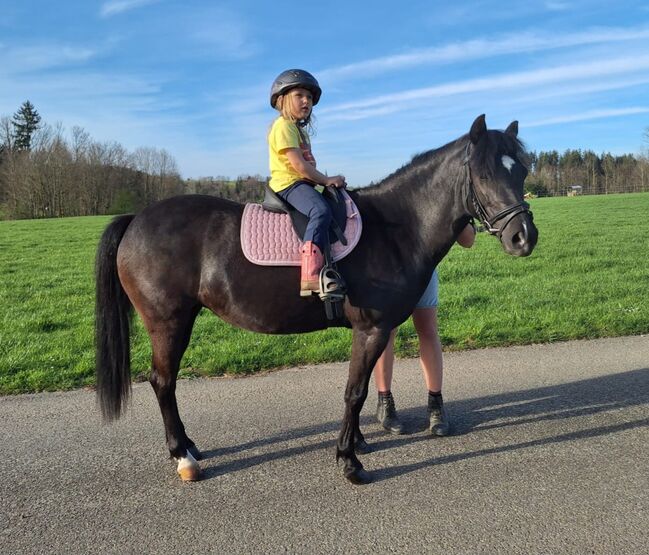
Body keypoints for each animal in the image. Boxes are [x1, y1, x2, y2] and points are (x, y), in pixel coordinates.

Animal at [95, 115, 536, 484]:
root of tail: (136, 219)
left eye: (523, 169)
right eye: (484, 173)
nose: (524, 237)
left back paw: (188, 446)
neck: (396, 227)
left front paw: (357, 444)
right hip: (168, 322)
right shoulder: (372, 329)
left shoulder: (372, 329)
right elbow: (354, 392)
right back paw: (183, 457)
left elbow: (358, 389)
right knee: (163, 381)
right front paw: (348, 461)